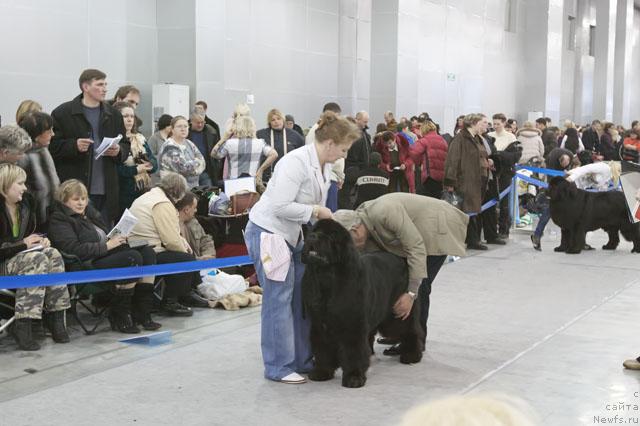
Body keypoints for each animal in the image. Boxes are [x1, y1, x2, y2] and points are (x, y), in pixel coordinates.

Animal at [302, 218, 424, 388]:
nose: (312, 237)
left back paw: (411, 355)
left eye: (330, 236)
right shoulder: (320, 324)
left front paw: (354, 377)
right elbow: (323, 349)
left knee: (411, 330)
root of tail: (402, 259)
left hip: (396, 313)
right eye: (314, 230)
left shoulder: (352, 325)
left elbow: (354, 351)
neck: (327, 278)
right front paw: (321, 372)